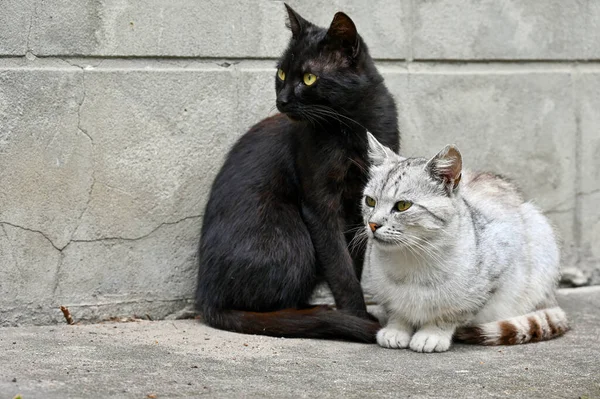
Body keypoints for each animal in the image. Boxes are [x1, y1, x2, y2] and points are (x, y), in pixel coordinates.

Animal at [196, 3, 398, 344]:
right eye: (280, 73)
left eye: (309, 77)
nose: (282, 100)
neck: (353, 125)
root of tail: (207, 298)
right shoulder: (320, 206)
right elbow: (341, 268)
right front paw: (357, 318)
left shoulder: (360, 208)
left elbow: (353, 263)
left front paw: (355, 314)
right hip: (293, 234)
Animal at [360, 134, 568, 354]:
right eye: (370, 201)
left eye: (403, 205)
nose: (373, 224)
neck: (412, 259)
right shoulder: (384, 292)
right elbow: (397, 311)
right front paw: (396, 329)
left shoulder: (490, 279)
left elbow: (450, 314)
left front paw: (431, 334)